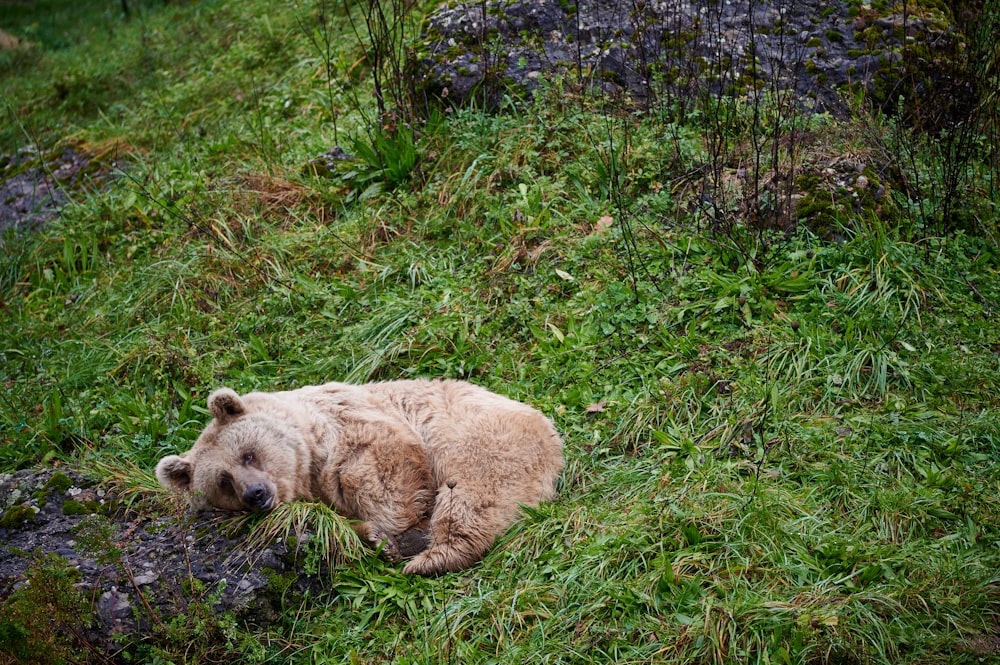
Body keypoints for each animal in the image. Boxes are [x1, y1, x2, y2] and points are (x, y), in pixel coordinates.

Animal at [155, 378, 564, 576]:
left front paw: (399, 531)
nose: (256, 493)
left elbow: (379, 472)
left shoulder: (355, 426)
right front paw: (377, 537)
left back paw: (430, 559)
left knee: (471, 497)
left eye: (248, 453)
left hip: (483, 440)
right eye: (223, 481)